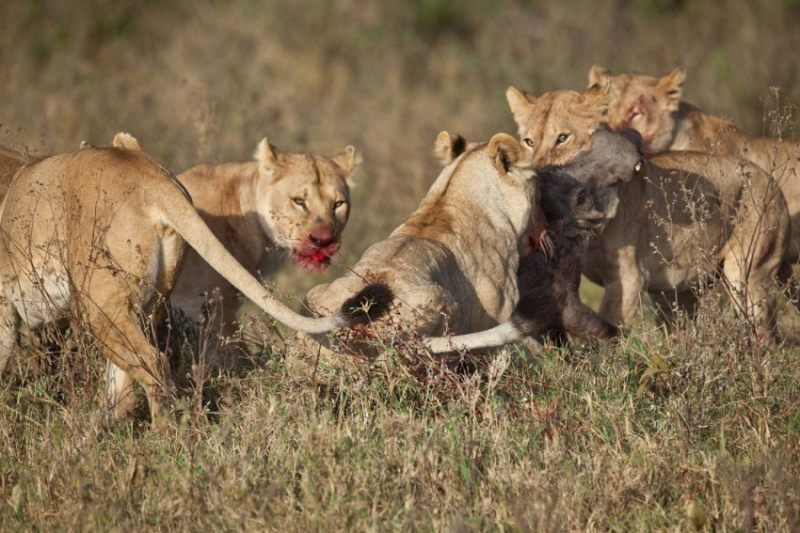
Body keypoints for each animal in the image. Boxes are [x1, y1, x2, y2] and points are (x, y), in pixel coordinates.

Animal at [506, 86, 788, 336]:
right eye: (529, 142)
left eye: (562, 138)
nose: (540, 174)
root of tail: (772, 181)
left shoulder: (628, 280)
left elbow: (608, 333)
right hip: (681, 290)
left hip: (749, 276)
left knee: (765, 331)